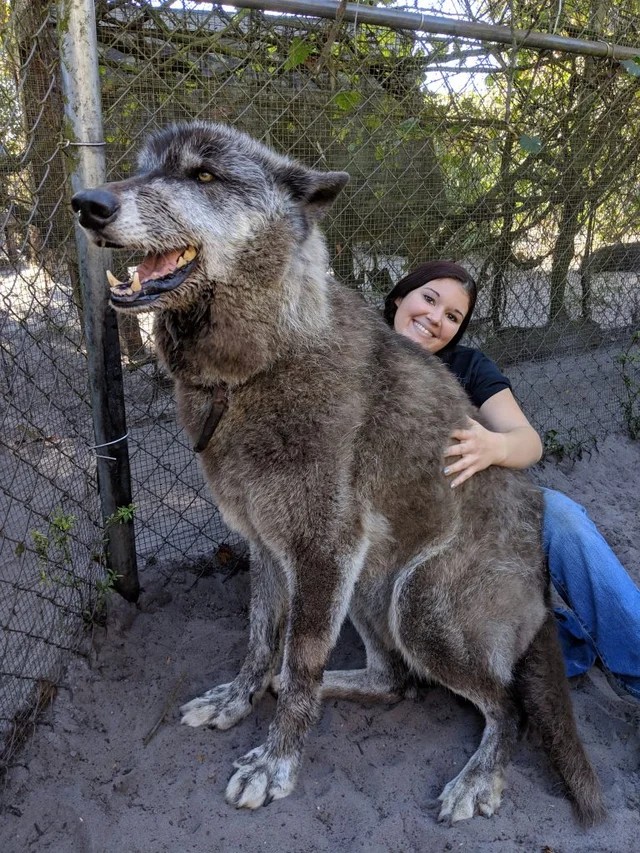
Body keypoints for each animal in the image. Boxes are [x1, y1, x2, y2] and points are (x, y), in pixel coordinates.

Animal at [71, 120, 604, 824]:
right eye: (143, 167)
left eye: (203, 175)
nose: (87, 204)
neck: (264, 361)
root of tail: (541, 589)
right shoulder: (269, 548)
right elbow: (262, 640)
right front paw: (238, 699)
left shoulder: (323, 551)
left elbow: (299, 664)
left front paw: (275, 763)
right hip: (368, 590)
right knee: (394, 679)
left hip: (418, 603)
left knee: (507, 703)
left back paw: (477, 777)